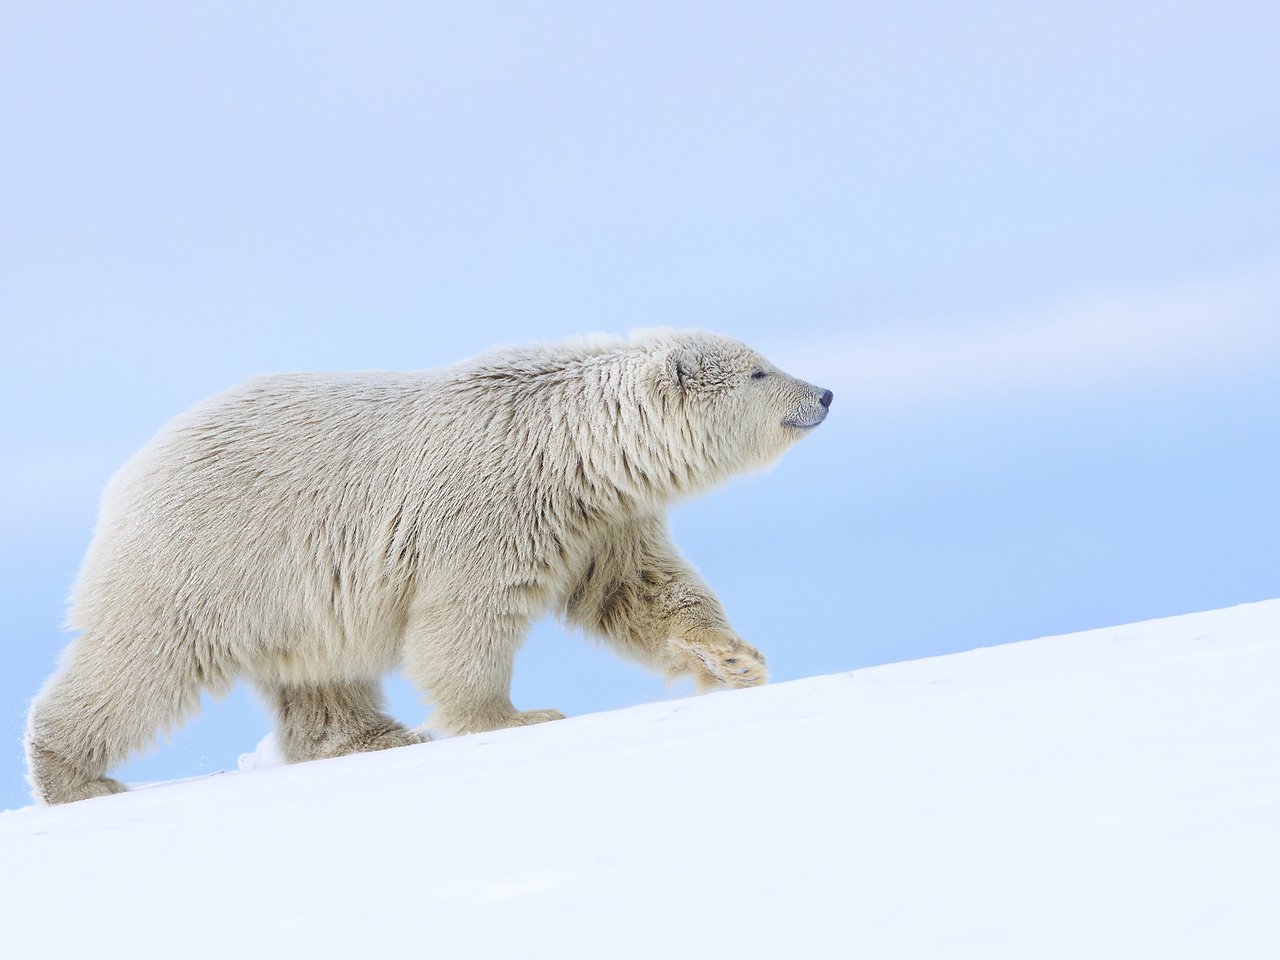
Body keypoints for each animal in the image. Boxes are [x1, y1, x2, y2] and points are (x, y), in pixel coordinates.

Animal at [27, 330, 839, 803]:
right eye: (760, 372)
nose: (826, 392)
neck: (572, 448)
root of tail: (131, 469)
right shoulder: (490, 503)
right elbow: (465, 617)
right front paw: (514, 716)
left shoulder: (601, 520)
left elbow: (641, 592)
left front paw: (734, 661)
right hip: (210, 555)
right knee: (142, 661)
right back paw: (74, 776)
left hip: (296, 592)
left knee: (321, 672)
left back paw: (375, 736)